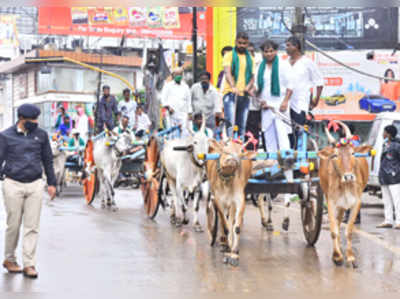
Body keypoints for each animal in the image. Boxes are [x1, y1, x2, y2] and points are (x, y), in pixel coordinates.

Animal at [205, 139, 255, 268]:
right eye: (226, 145)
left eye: (241, 150)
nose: (233, 158)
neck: (226, 178)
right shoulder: (218, 200)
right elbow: (225, 225)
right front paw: (227, 247)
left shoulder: (239, 199)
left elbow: (236, 227)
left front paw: (234, 254)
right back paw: (223, 242)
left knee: (231, 219)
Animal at [318, 123, 372, 268]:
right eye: (335, 155)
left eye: (352, 153)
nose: (349, 176)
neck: (346, 185)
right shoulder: (330, 202)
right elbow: (333, 231)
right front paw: (337, 256)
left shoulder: (356, 203)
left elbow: (348, 231)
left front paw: (351, 257)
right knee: (336, 223)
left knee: (339, 221)